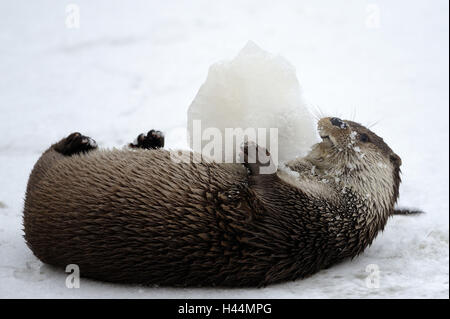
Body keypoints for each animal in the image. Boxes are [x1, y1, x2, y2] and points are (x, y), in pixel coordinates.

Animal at [23, 119, 412, 288]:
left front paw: (256, 153)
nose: (335, 119)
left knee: (45, 157)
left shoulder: (308, 223)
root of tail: (28, 213)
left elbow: (268, 206)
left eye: (362, 136)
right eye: (344, 119)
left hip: (44, 179)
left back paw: (77, 141)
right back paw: (147, 138)